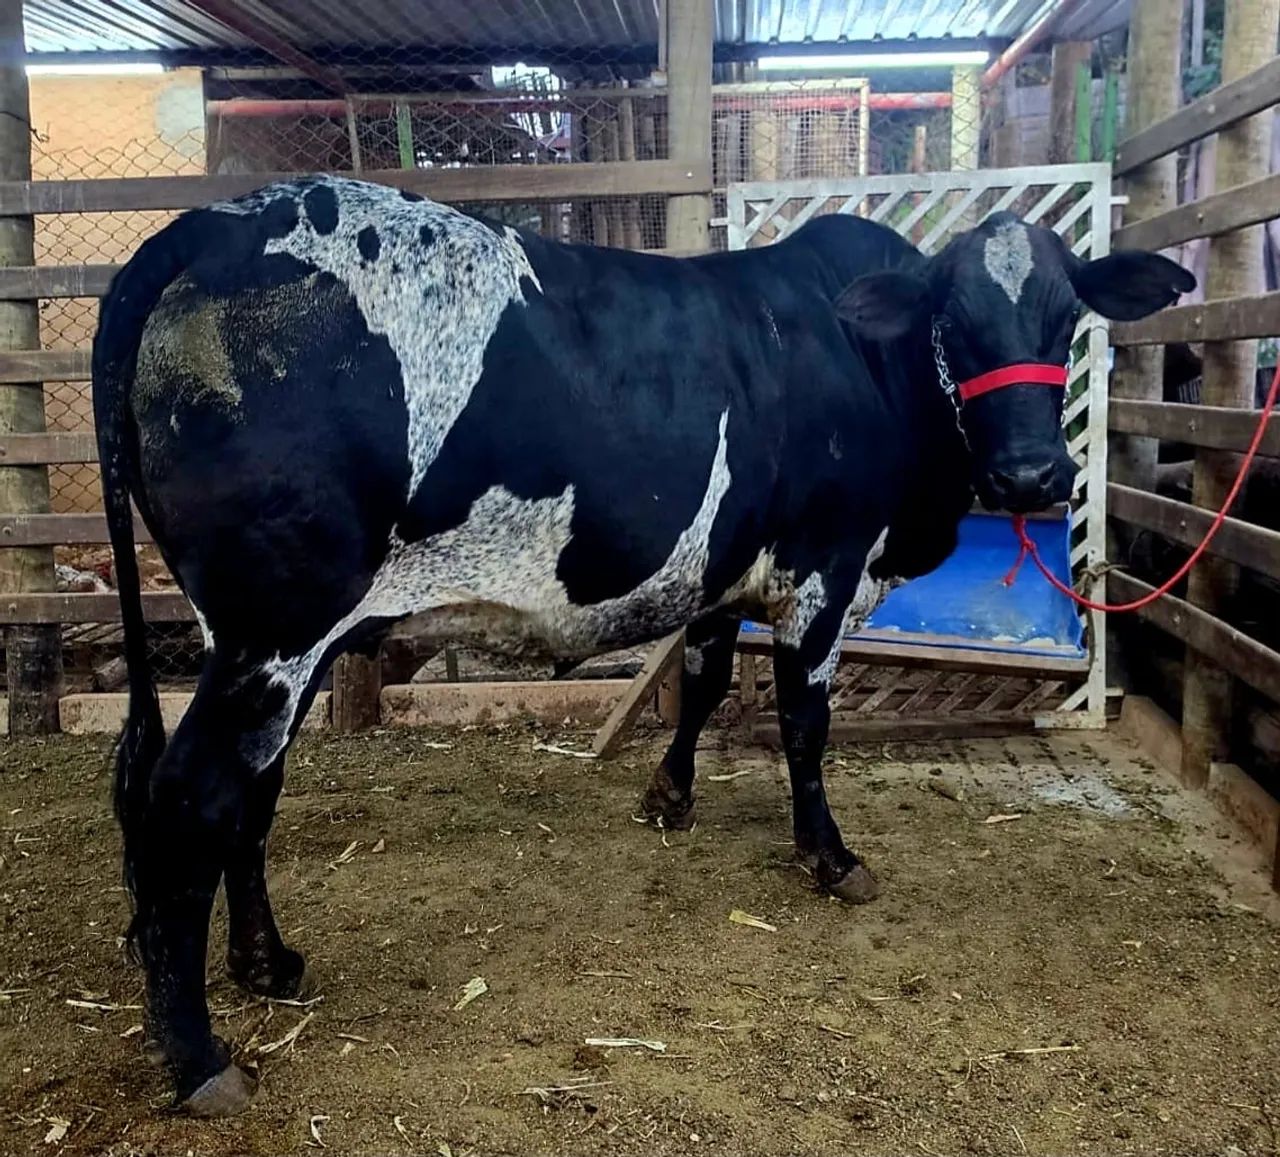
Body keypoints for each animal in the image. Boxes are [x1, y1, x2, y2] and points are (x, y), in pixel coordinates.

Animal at [93, 174, 1194, 1114]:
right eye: (953, 322)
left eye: (1064, 316)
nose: (1032, 473)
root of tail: (214, 223)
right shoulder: (823, 569)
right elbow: (803, 724)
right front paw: (829, 854)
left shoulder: (725, 572)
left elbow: (701, 681)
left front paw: (669, 795)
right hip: (275, 624)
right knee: (190, 802)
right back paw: (198, 1057)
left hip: (271, 643)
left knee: (250, 794)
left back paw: (267, 963)